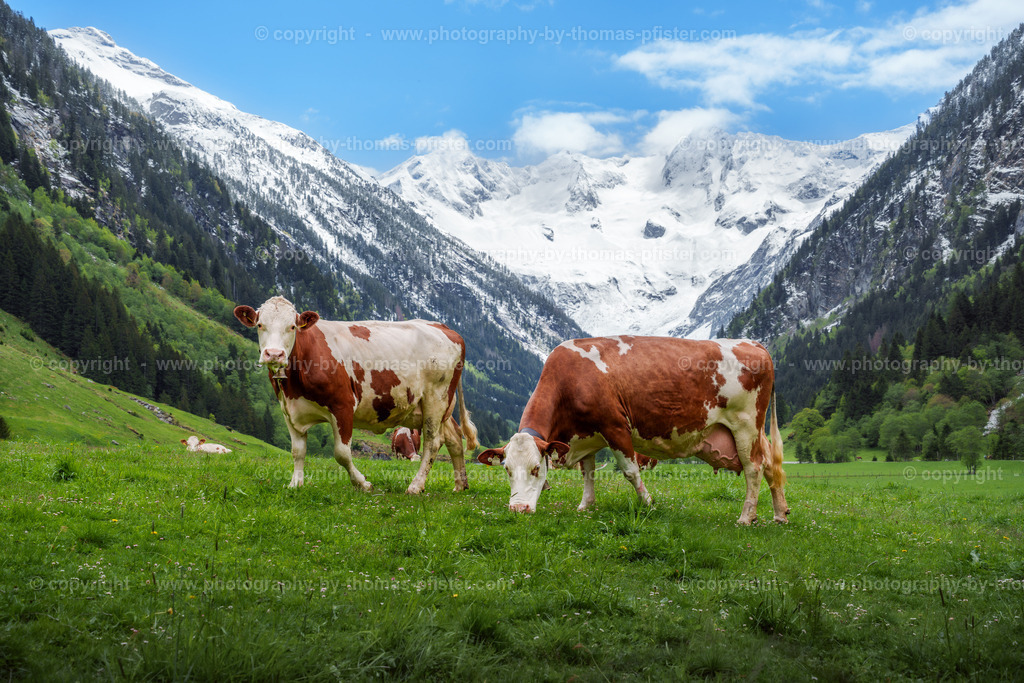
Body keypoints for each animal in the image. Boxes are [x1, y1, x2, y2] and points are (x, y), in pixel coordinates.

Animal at [233, 296, 478, 494]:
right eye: (260, 325)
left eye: (292, 326)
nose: (274, 354)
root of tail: (442, 326)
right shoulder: (289, 410)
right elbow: (297, 451)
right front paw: (295, 484)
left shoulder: (342, 405)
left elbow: (341, 453)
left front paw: (362, 483)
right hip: (440, 406)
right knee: (454, 439)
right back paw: (460, 485)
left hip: (436, 399)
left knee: (433, 443)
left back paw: (416, 486)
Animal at [477, 336, 789, 525]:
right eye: (506, 470)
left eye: (535, 468)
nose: (518, 509)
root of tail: (751, 342)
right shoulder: (586, 434)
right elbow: (588, 472)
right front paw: (586, 505)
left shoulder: (614, 425)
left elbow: (630, 471)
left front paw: (649, 504)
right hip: (755, 431)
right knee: (771, 466)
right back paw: (780, 514)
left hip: (745, 424)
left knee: (754, 468)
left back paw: (746, 518)